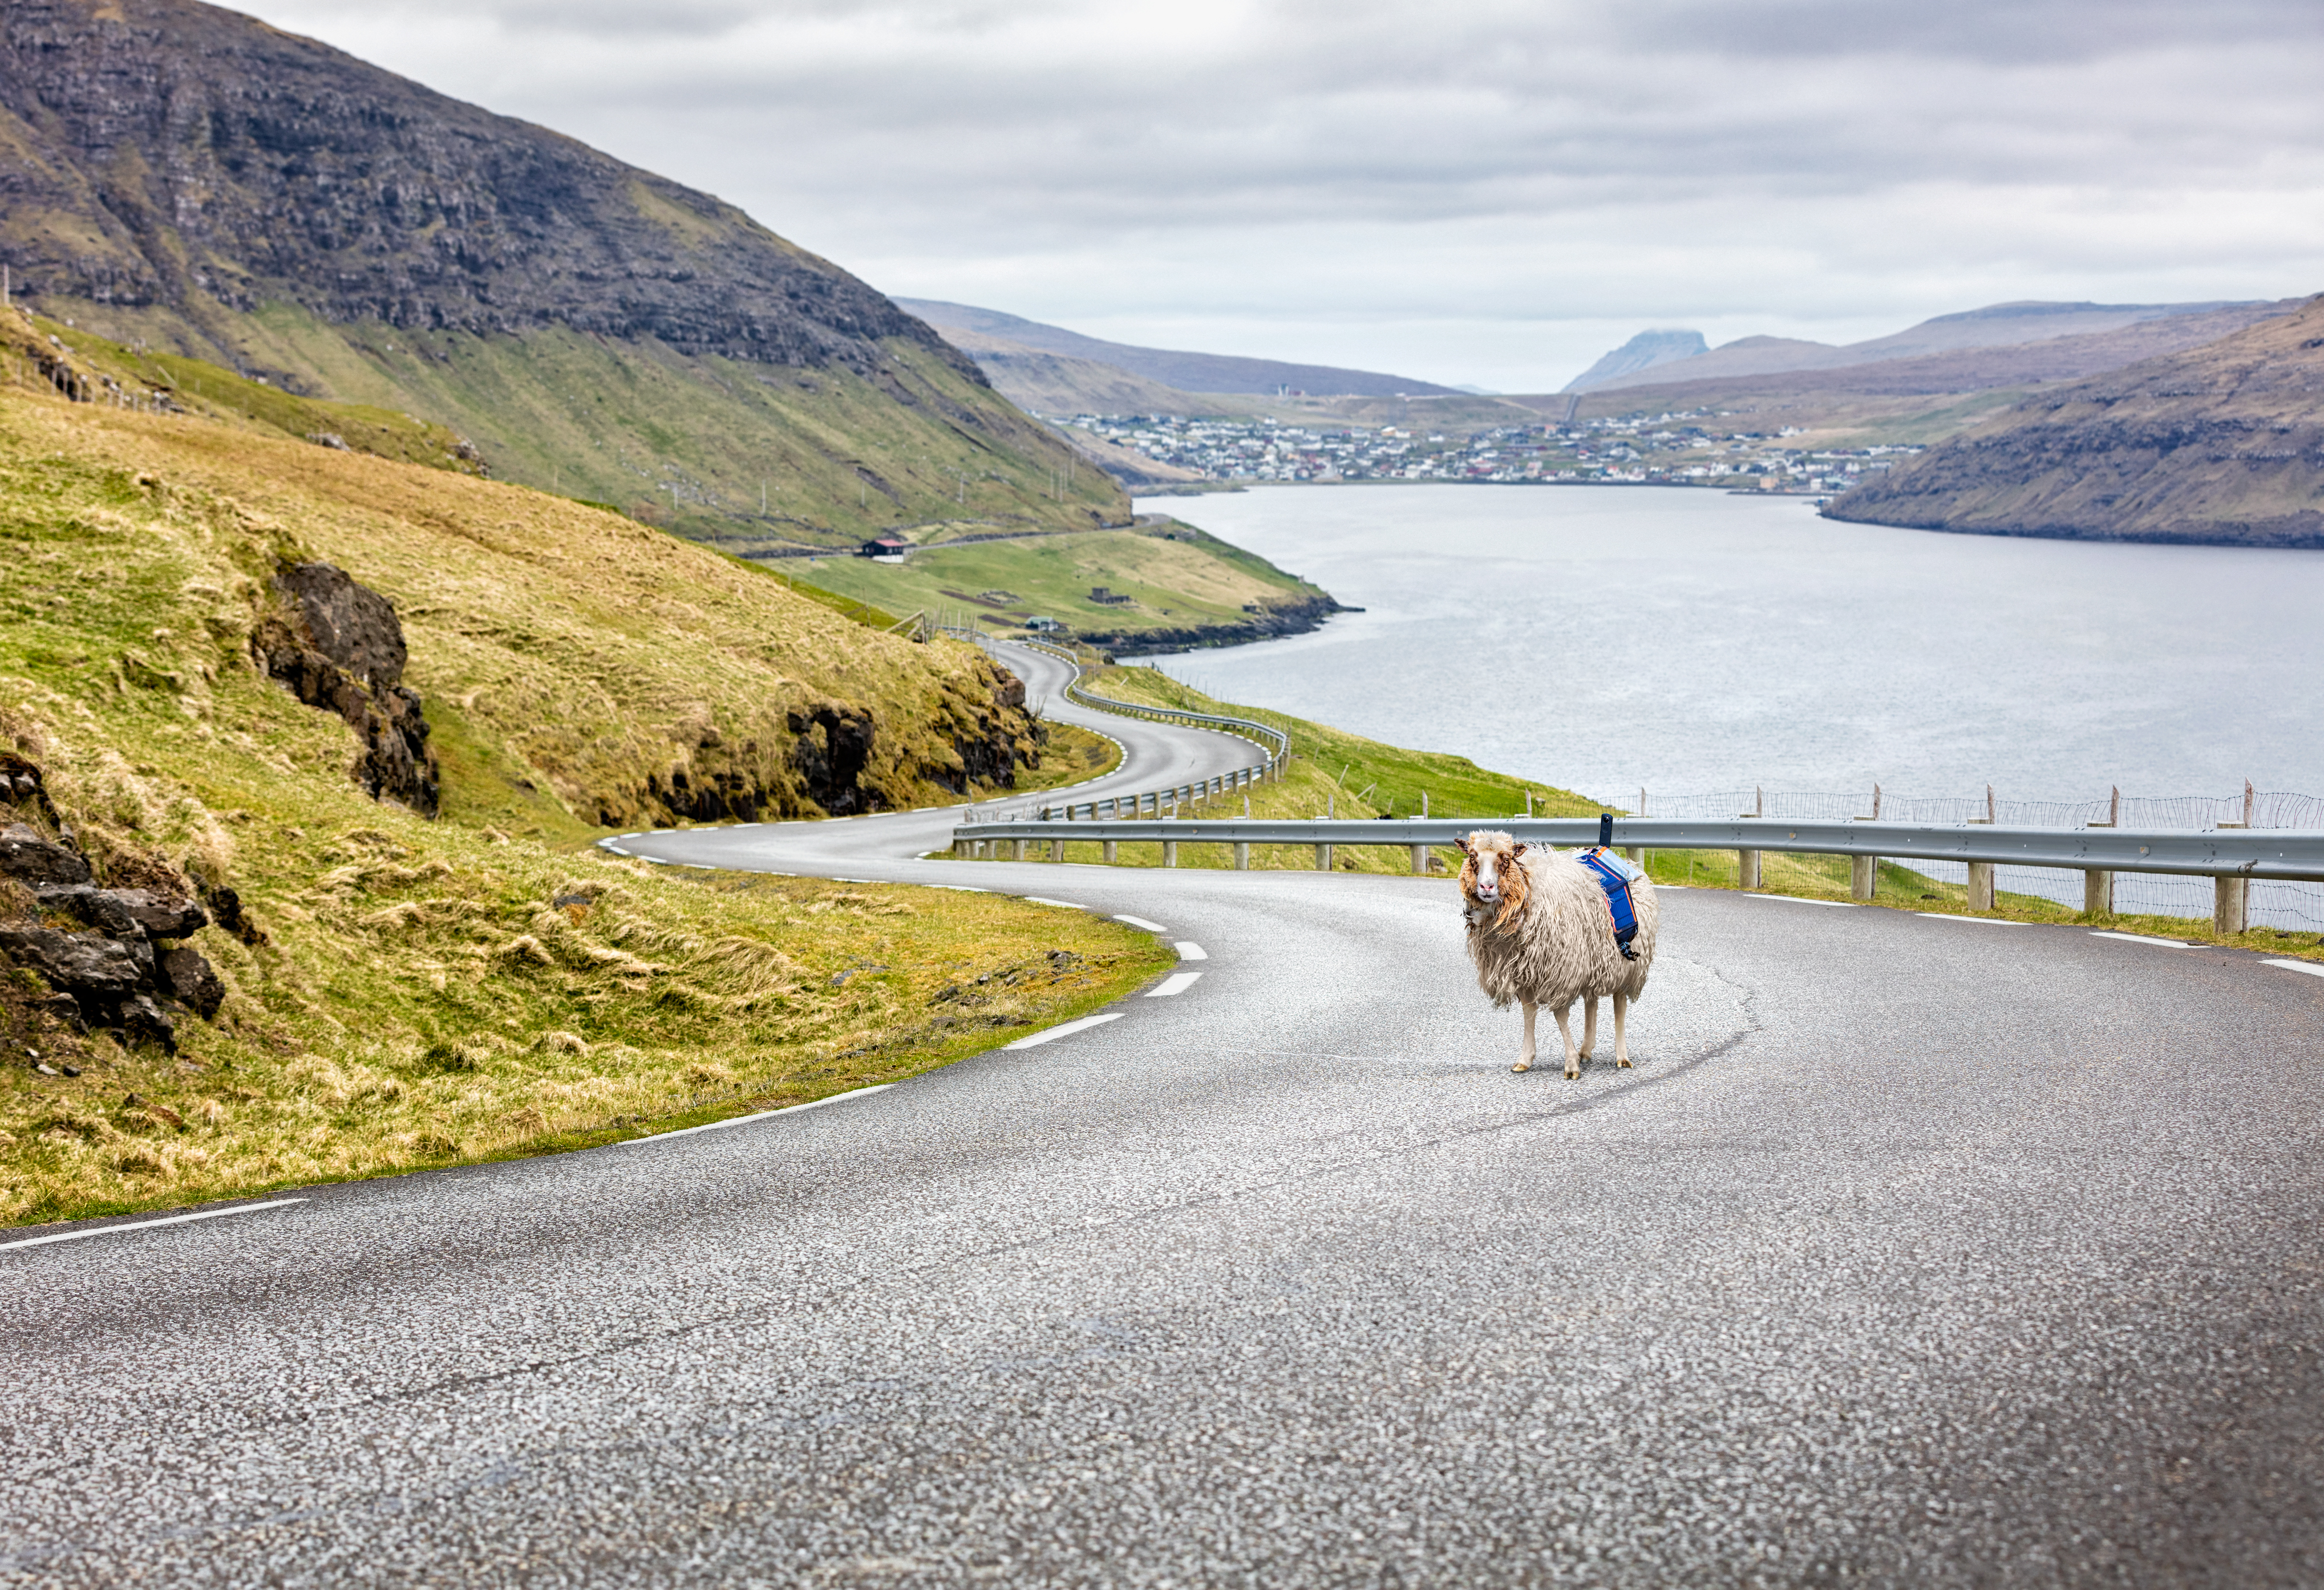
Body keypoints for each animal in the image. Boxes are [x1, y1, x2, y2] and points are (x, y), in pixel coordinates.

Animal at [1450, 832, 1654, 1078]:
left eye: (1506, 859)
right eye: (1472, 857)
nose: (1486, 887)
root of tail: (1627, 862)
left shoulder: (1560, 972)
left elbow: (1561, 1016)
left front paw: (1571, 1065)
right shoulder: (1523, 971)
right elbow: (1529, 1012)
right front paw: (1525, 1059)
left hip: (1624, 965)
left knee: (1619, 1004)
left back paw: (1621, 1056)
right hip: (1592, 958)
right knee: (1592, 1001)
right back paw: (1586, 1049)